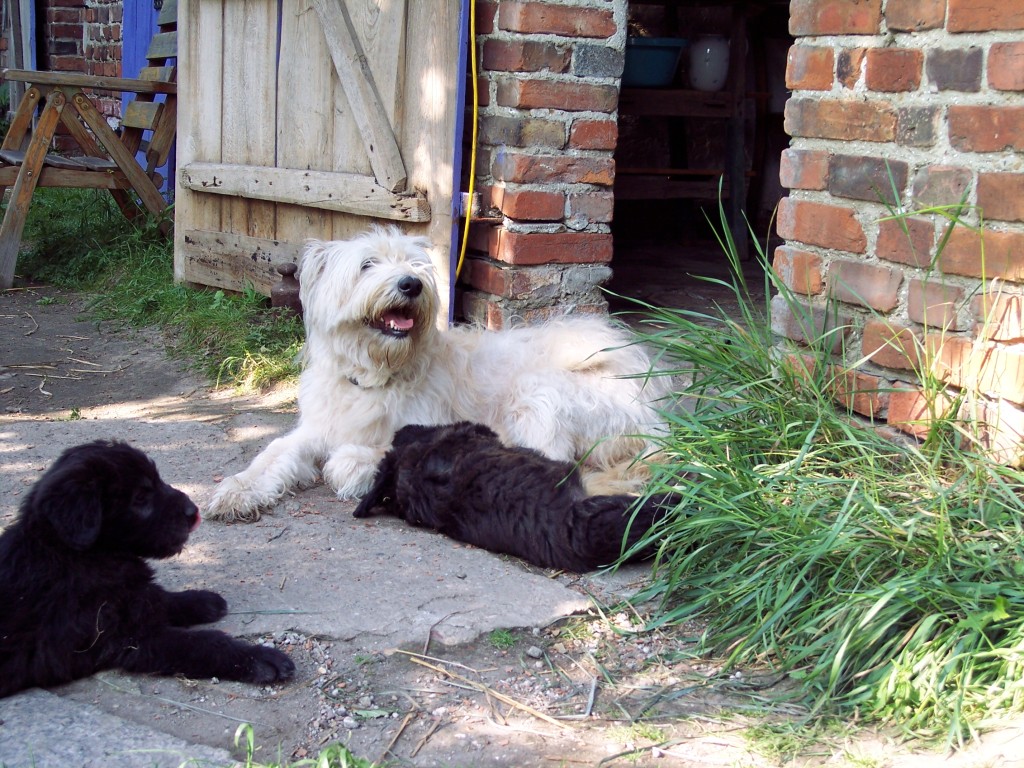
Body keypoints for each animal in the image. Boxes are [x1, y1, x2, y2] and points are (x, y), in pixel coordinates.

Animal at [0, 441, 295, 698]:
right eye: (141, 497)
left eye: (157, 480)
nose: (192, 511)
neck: (71, 554)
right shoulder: (128, 638)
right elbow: (202, 643)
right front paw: (259, 659)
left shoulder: (133, 599)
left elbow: (160, 598)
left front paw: (201, 600)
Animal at [205, 225, 668, 522]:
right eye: (367, 264)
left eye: (414, 265)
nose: (411, 284)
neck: (375, 374)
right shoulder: (316, 429)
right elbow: (273, 454)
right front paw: (237, 490)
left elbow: (364, 456)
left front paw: (353, 466)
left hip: (537, 392)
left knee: (553, 461)